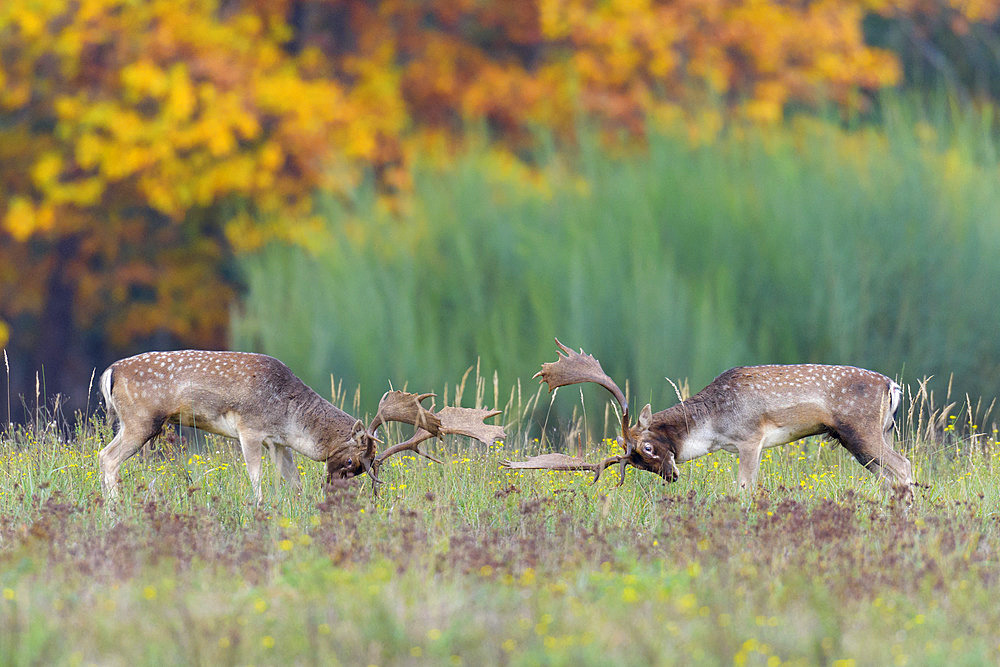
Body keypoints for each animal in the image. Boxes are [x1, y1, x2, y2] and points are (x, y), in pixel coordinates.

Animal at [98, 350, 504, 500]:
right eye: (353, 461)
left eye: (362, 470)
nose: (334, 492)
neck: (289, 415)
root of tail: (109, 371)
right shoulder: (249, 428)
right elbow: (256, 478)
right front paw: (258, 508)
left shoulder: (278, 441)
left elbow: (291, 480)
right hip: (141, 420)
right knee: (107, 458)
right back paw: (115, 510)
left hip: (131, 422)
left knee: (105, 456)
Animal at [504, 342, 916, 494]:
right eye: (635, 463)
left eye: (648, 448)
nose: (671, 476)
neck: (715, 428)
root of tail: (892, 386)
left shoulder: (751, 438)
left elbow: (744, 488)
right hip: (871, 435)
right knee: (893, 473)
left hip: (861, 430)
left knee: (904, 466)